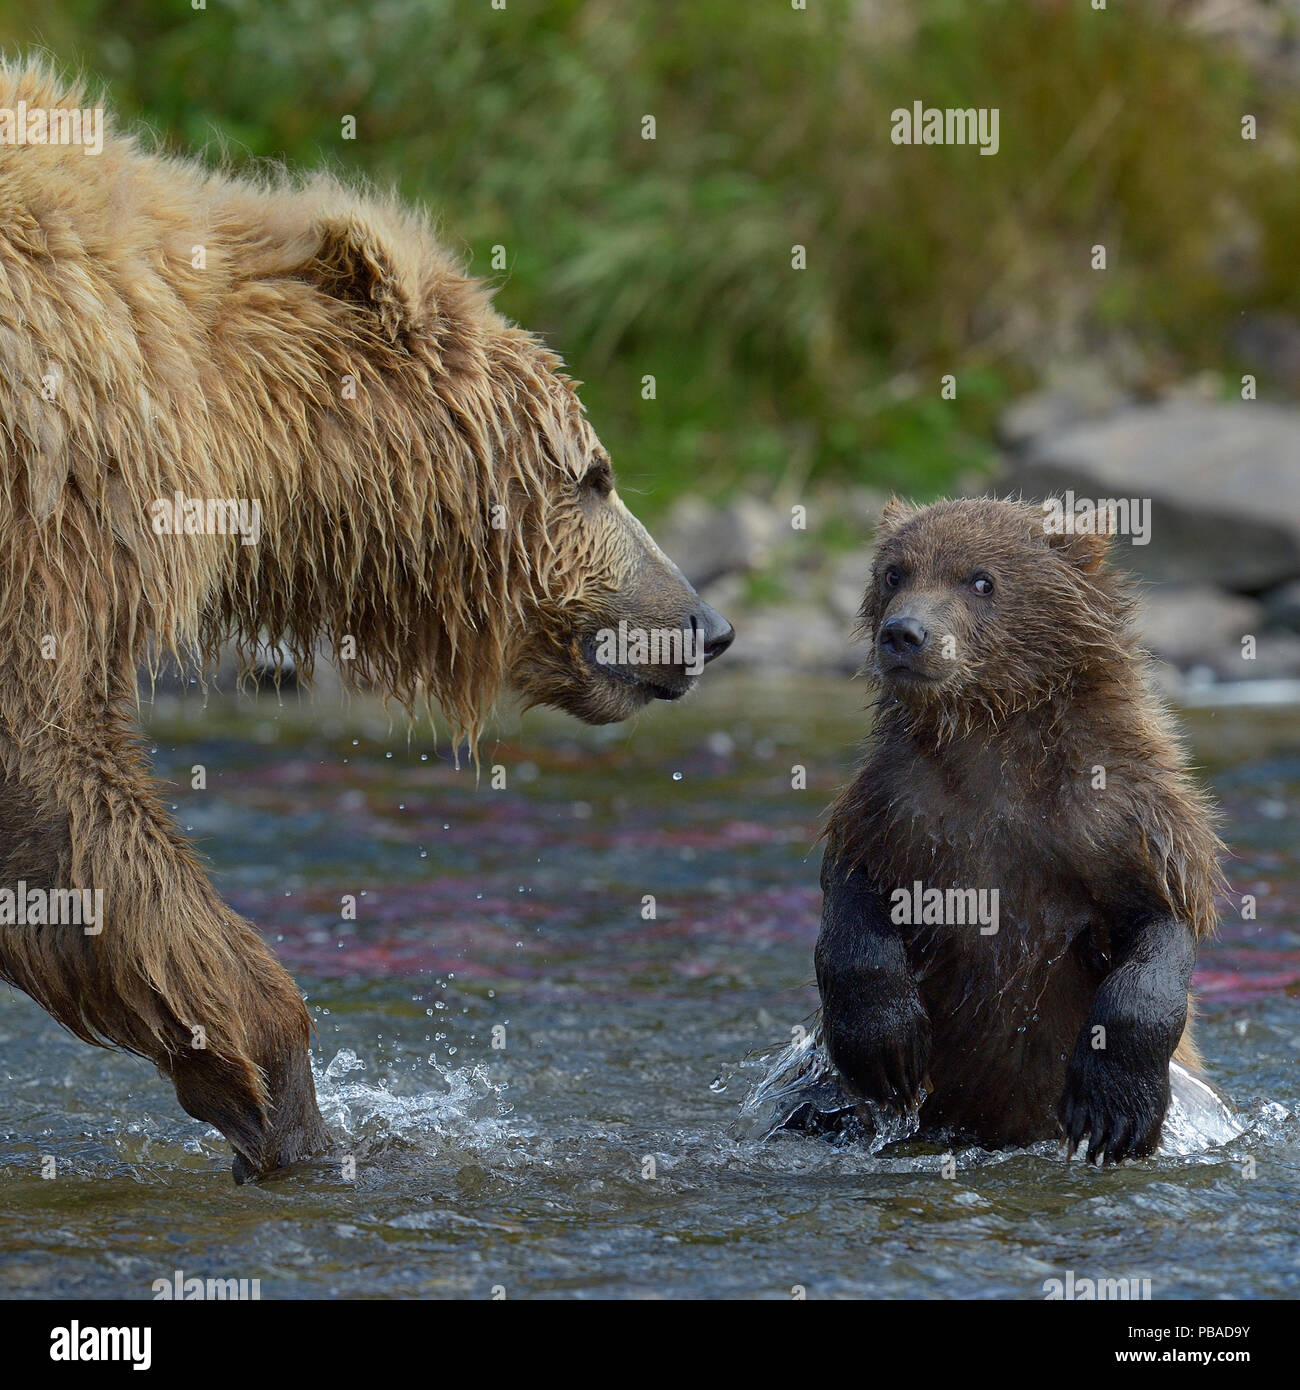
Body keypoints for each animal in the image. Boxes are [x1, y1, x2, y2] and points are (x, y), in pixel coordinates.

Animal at [812, 496, 1224, 1162]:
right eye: (895, 573)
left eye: (981, 580)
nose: (903, 634)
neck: (993, 734)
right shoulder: (899, 805)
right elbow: (855, 889)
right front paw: (884, 1043)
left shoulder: (1118, 817)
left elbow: (1162, 918)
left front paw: (1114, 1107)